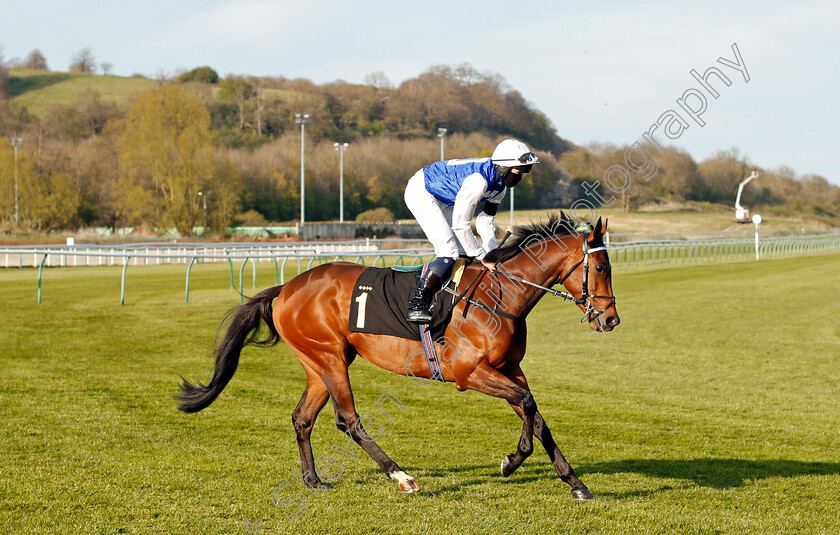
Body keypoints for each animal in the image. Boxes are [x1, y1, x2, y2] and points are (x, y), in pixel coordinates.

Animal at [177, 214, 620, 502]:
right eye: (600, 266)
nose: (610, 319)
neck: (500, 297)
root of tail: (286, 287)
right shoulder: (470, 373)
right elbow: (528, 406)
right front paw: (511, 461)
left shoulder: (510, 368)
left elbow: (537, 415)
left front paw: (575, 483)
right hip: (330, 359)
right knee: (349, 420)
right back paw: (402, 477)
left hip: (320, 362)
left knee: (302, 418)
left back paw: (313, 480)